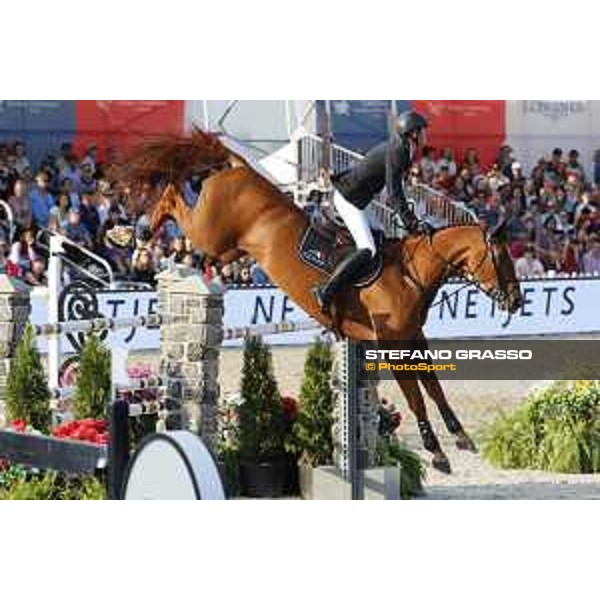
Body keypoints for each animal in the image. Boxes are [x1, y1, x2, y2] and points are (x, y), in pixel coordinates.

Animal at [123, 129, 522, 472]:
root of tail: (240, 168)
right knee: (174, 197)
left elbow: (434, 387)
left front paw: (461, 436)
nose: (517, 302)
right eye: (502, 259)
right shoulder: (392, 343)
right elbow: (415, 397)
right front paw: (437, 452)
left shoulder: (413, 338)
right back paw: (136, 232)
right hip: (211, 234)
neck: (413, 272)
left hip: (227, 250)